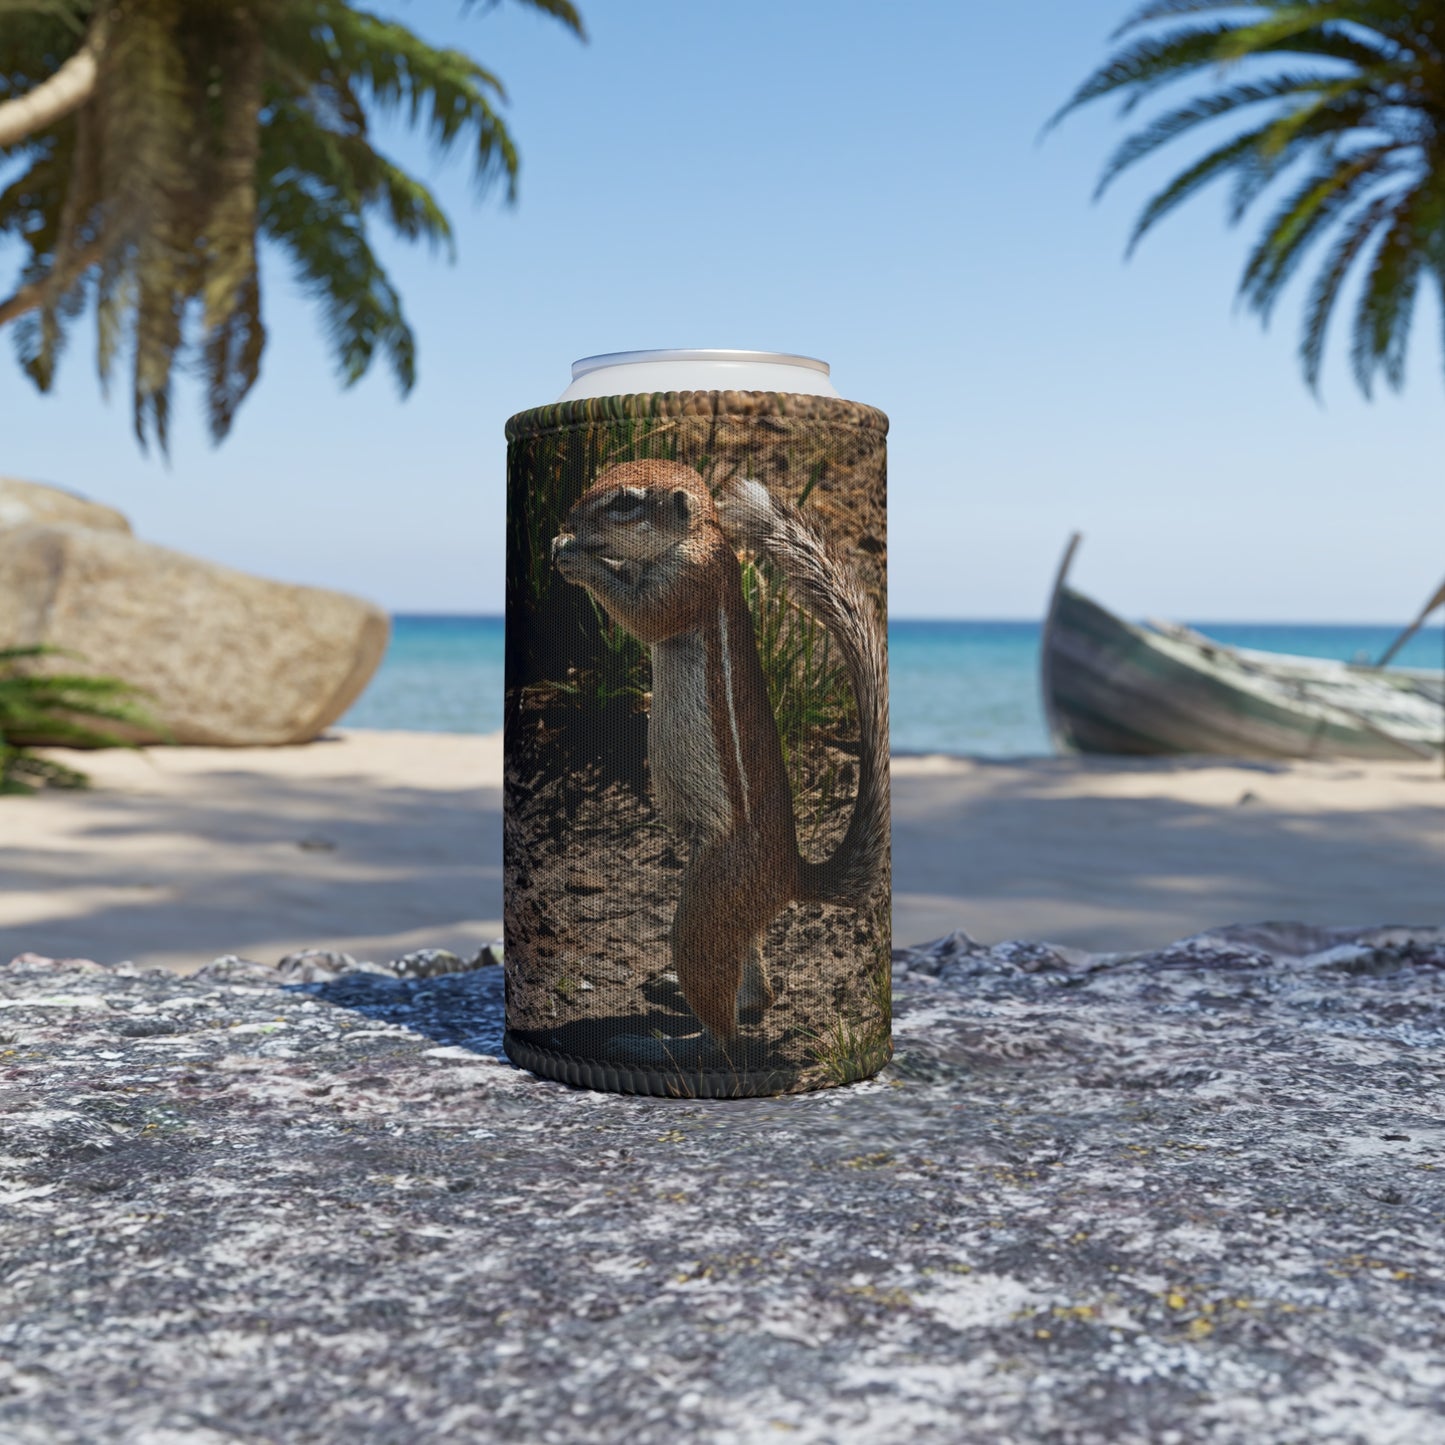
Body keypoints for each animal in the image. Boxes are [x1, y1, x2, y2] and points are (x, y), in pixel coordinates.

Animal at [551, 458, 889, 1047]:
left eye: (625, 501)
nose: (569, 518)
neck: (697, 535)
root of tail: (789, 876)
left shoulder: (688, 581)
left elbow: (641, 615)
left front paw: (576, 555)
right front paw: (565, 543)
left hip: (706, 907)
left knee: (724, 1035)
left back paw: (655, 1044)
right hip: (726, 914)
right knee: (756, 991)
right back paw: (677, 993)